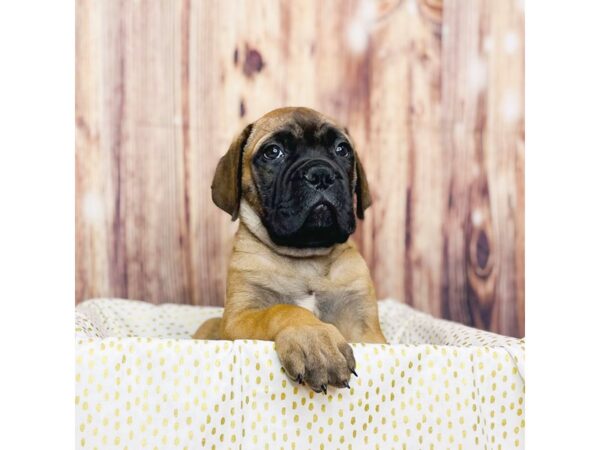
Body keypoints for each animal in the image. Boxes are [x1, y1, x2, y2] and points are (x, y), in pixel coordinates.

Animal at [195, 106, 386, 394]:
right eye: (273, 152)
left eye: (342, 149)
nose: (321, 174)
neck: (306, 259)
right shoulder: (238, 318)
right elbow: (282, 310)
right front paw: (316, 340)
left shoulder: (366, 328)